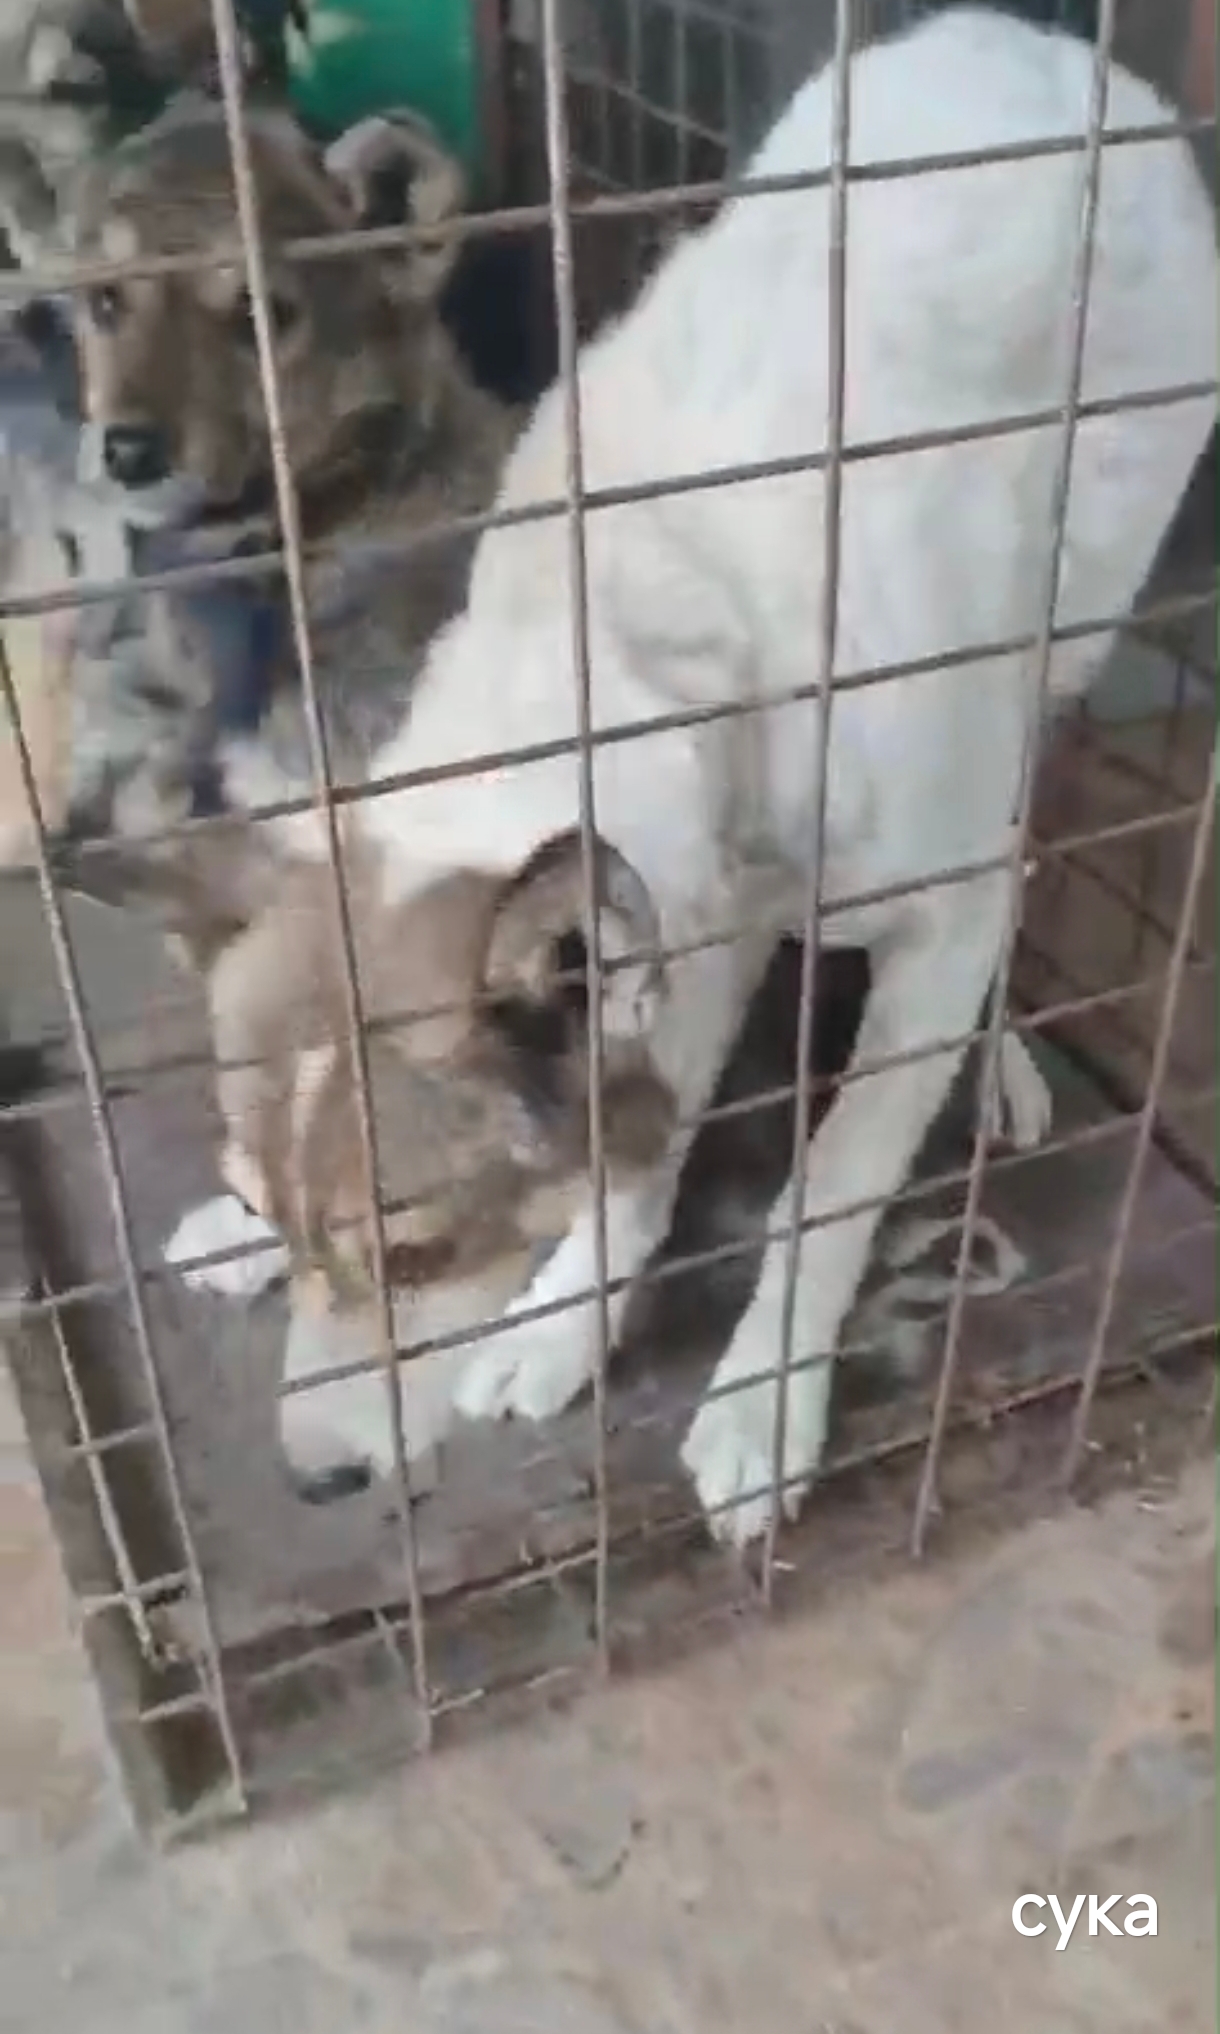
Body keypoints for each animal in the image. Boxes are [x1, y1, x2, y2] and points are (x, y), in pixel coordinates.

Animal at [249, 9, 1215, 1546]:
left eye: (412, 1250)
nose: (311, 1482)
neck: (648, 625)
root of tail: (1033, 41)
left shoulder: (920, 909)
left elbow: (833, 1186)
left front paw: (762, 1404)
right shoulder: (687, 932)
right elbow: (633, 1166)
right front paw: (560, 1328)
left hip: (1070, 627)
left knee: (1020, 826)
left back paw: (999, 1056)